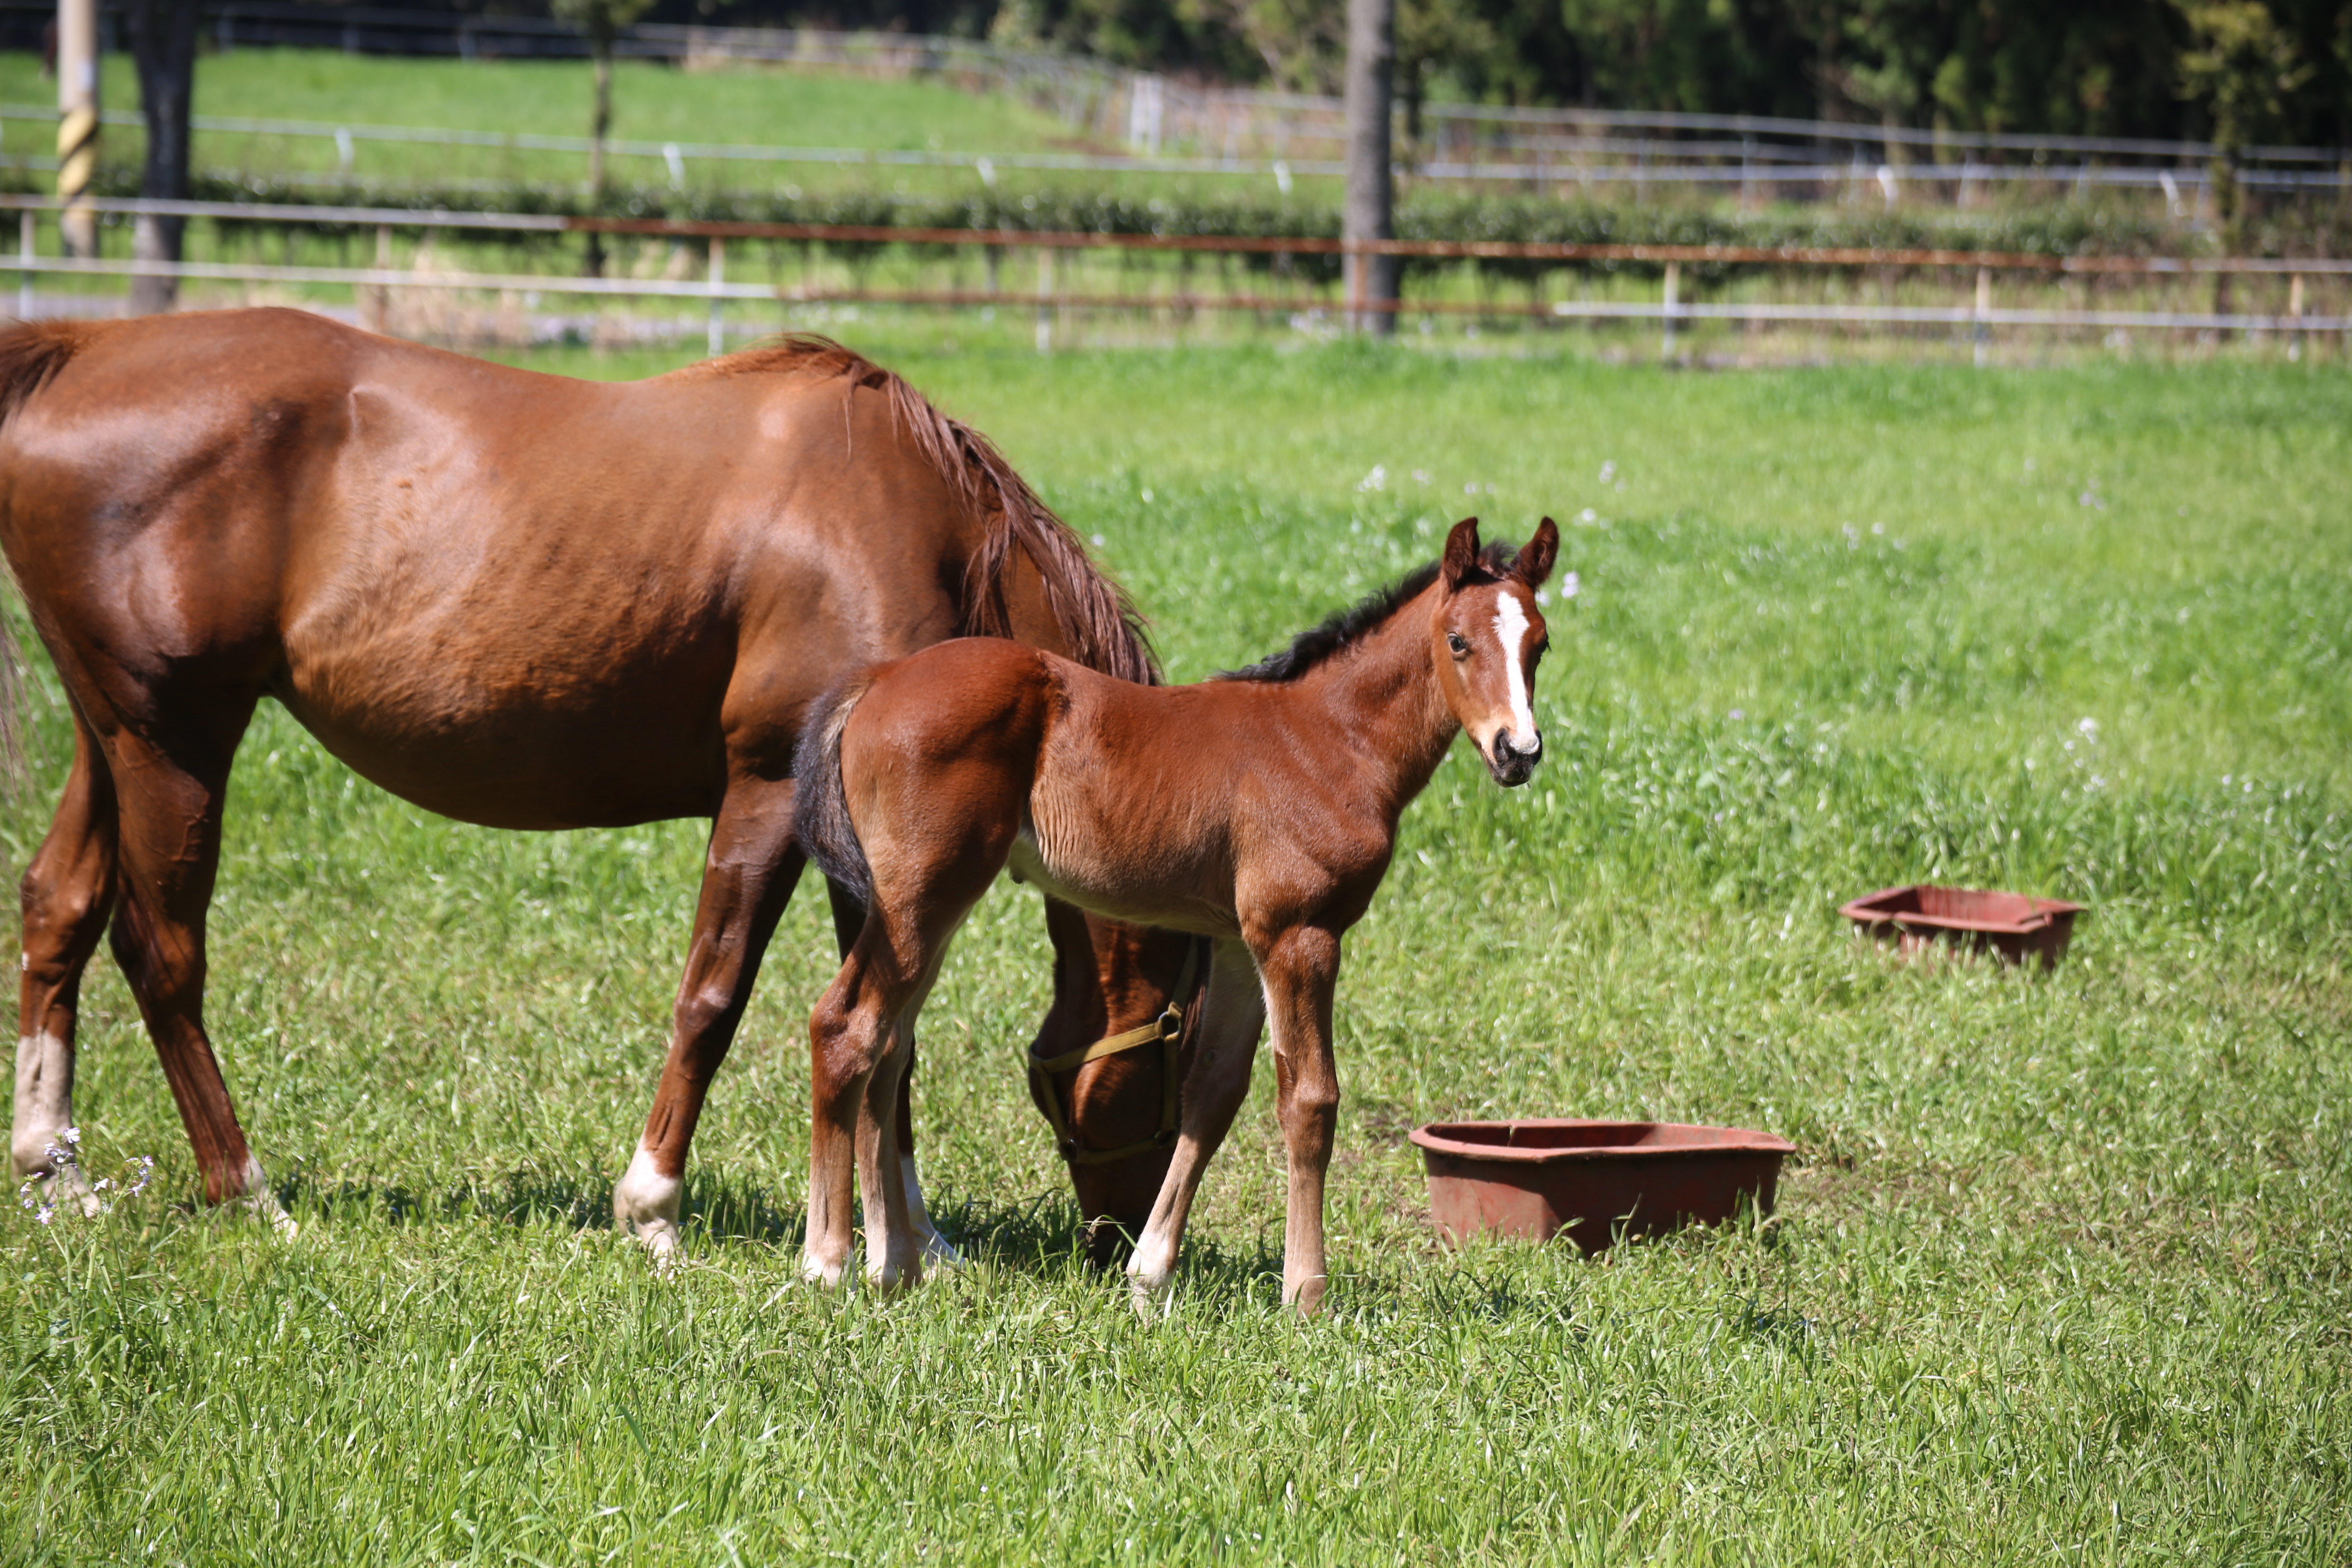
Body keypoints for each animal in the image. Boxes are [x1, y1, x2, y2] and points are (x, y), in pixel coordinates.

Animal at [800, 517, 1552, 1316]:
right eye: (1458, 641)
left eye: (1539, 644)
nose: (1517, 751)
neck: (1332, 738)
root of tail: (878, 681)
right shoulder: (1299, 936)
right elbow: (1310, 1101)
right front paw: (1307, 1292)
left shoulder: (1238, 946)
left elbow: (1213, 1094)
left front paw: (1150, 1273)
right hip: (922, 897)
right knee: (846, 1029)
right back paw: (828, 1263)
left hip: (928, 908)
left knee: (890, 1048)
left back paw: (895, 1266)